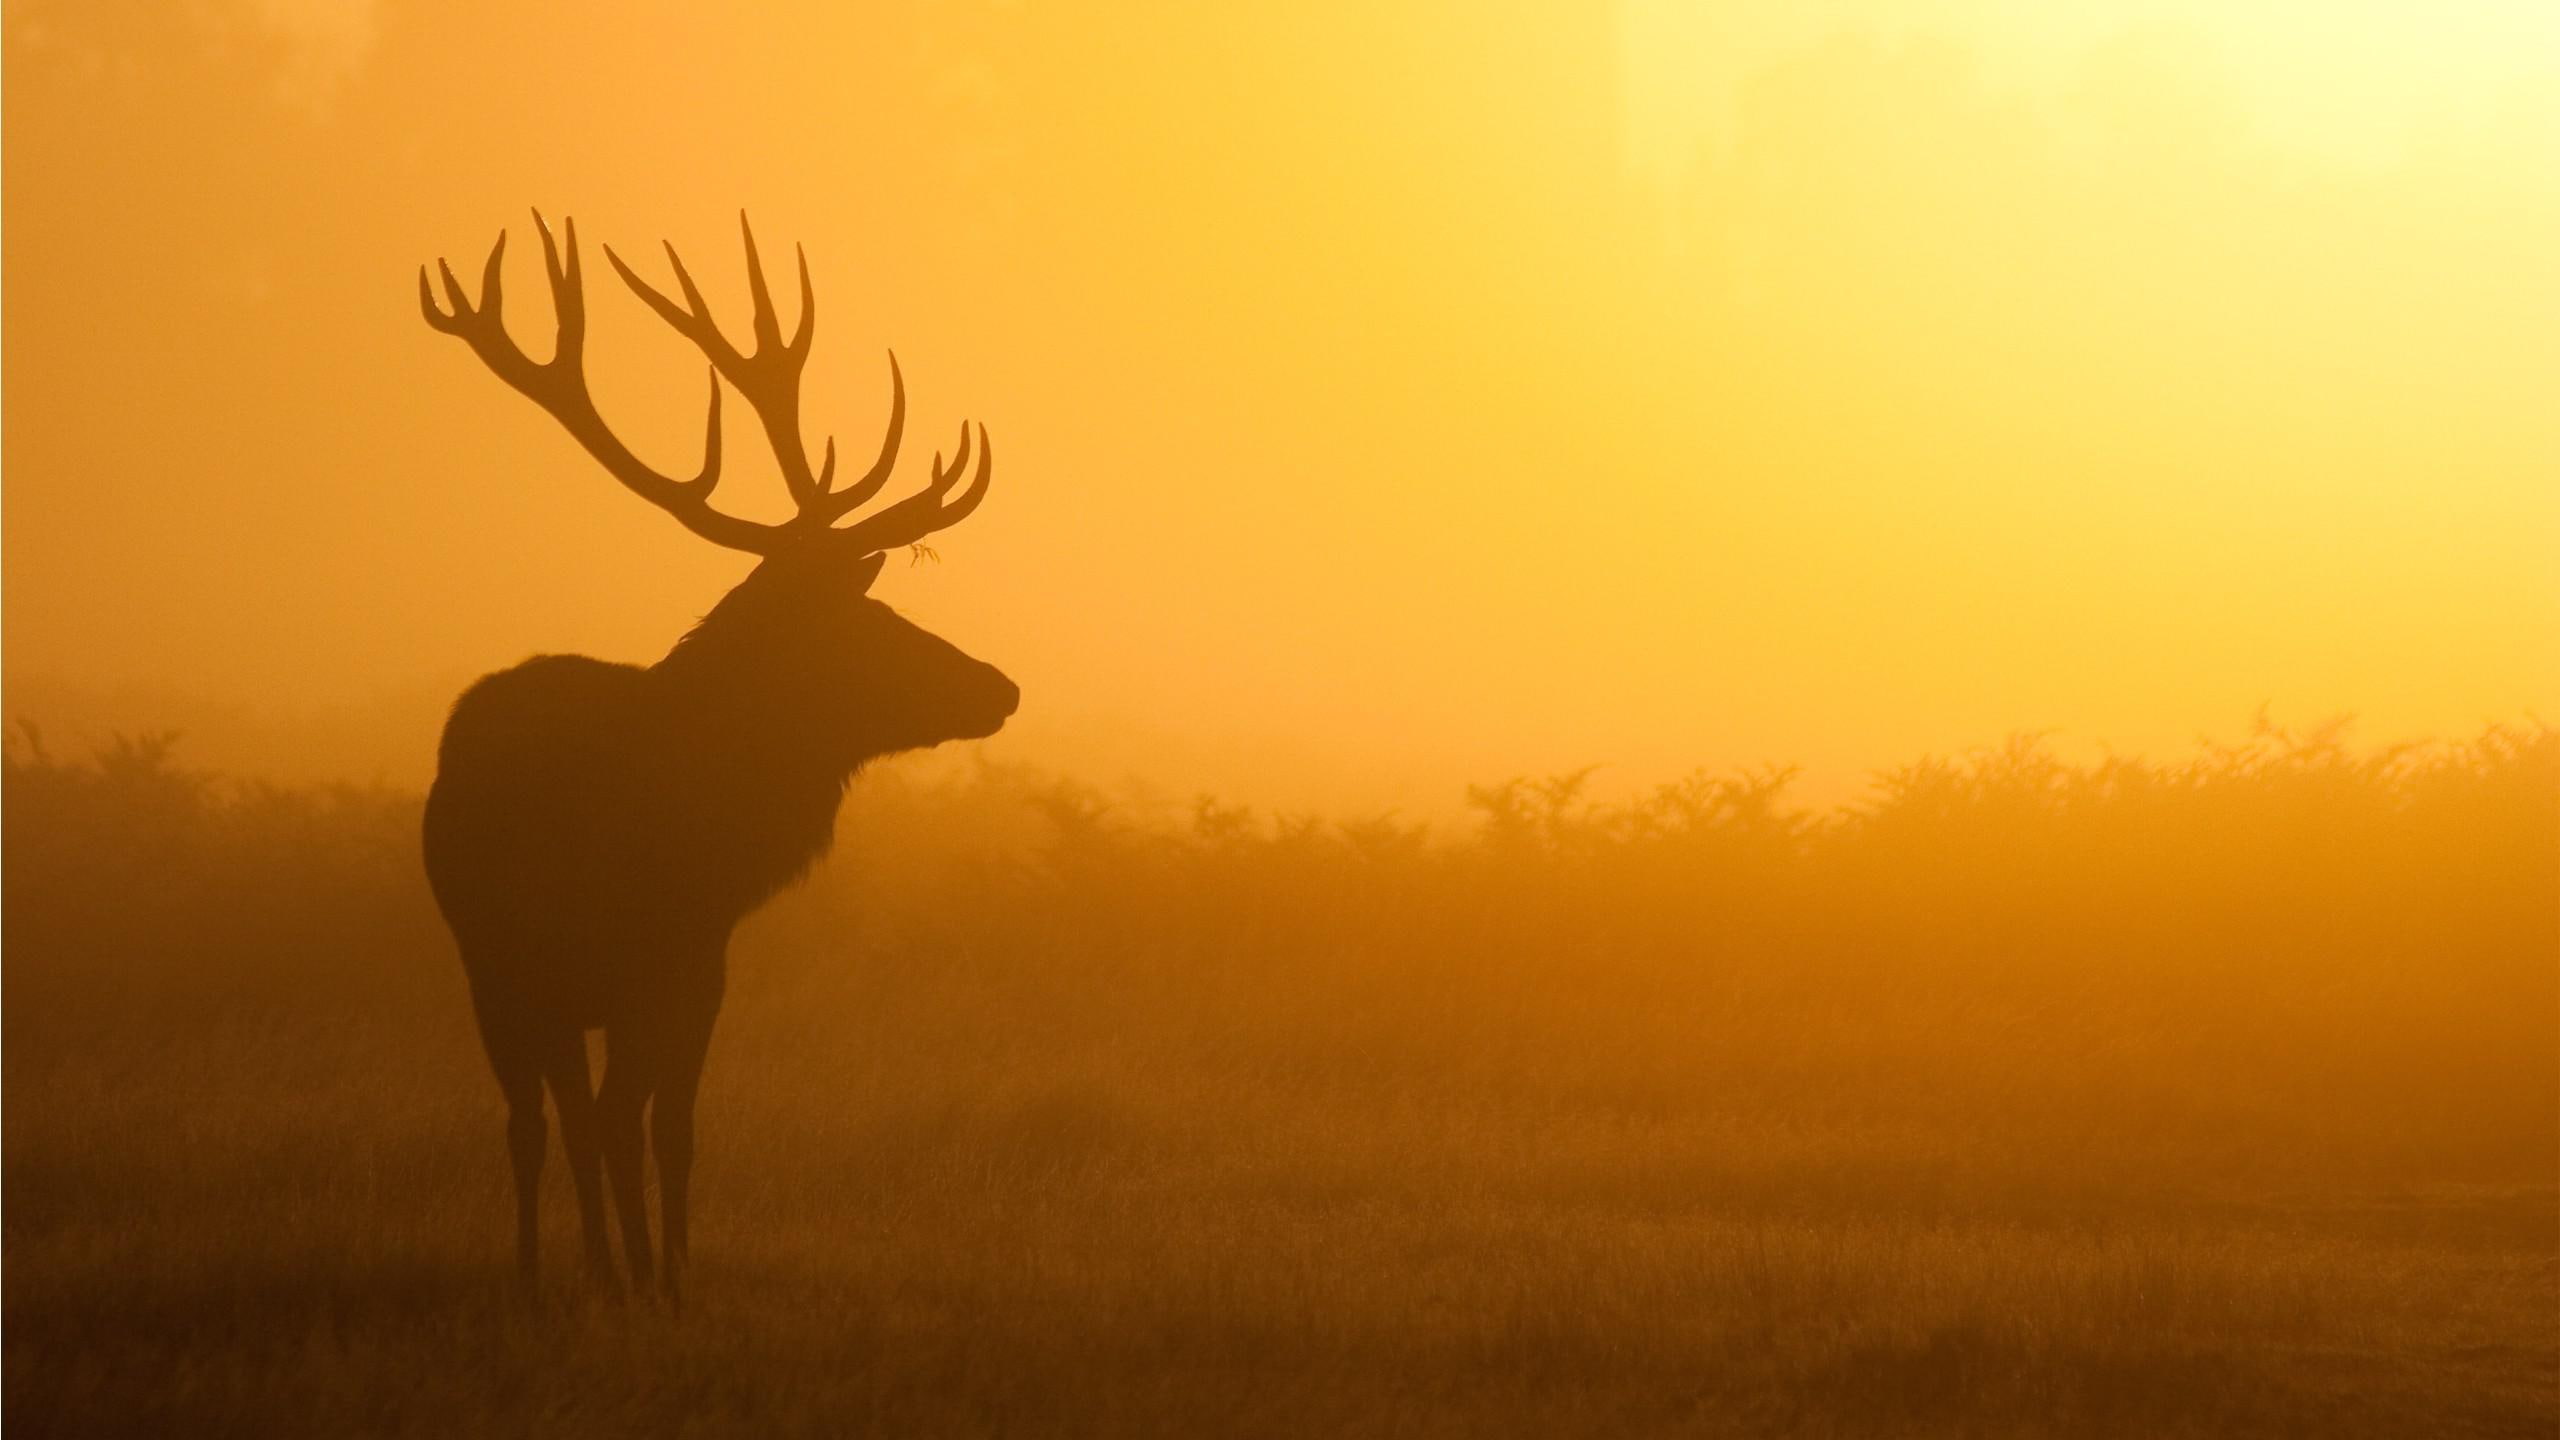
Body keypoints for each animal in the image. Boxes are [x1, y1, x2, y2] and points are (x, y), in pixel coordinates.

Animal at [416, 212, 1017, 1300]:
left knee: (561, 1119)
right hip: (516, 968)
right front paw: (648, 1281)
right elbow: (633, 1126)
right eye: (868, 623)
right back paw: (570, 1273)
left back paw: (572, 1268)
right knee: (554, 1120)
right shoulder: (643, 968)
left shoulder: (679, 970)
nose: (999, 685)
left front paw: (660, 1272)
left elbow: (663, 1129)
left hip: (532, 979)